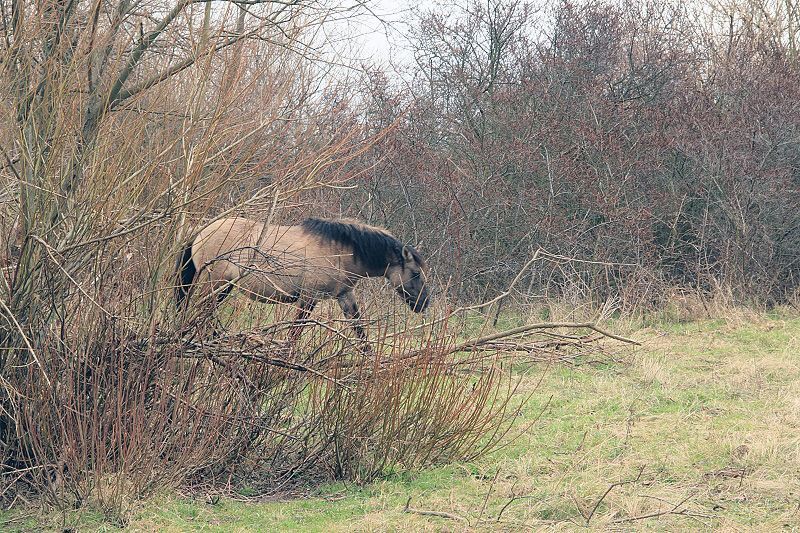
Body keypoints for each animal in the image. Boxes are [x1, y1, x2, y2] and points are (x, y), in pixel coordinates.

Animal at [173, 215, 432, 342]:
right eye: (415, 273)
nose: (423, 304)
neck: (341, 251)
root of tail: (202, 230)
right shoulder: (309, 298)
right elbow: (294, 333)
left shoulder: (344, 296)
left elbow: (359, 331)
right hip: (215, 285)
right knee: (198, 313)